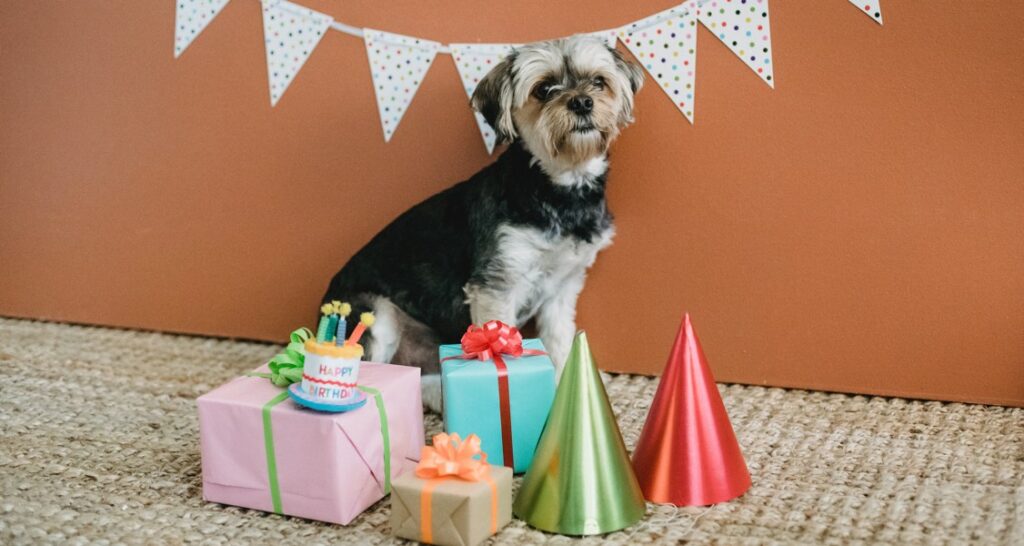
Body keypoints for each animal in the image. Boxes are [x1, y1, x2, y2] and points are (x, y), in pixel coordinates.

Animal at [321, 34, 638, 411]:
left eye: (599, 82)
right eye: (544, 89)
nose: (582, 102)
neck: (558, 188)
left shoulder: (562, 289)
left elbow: (560, 343)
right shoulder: (496, 285)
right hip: (375, 314)